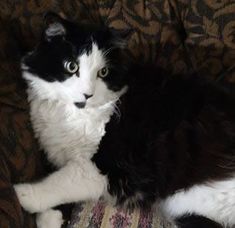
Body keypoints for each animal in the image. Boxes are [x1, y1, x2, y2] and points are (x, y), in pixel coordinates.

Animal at [13, 12, 235, 228]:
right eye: (71, 66)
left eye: (103, 72)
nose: (87, 95)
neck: (71, 114)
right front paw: (51, 217)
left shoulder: (107, 166)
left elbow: (62, 181)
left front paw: (22, 195)